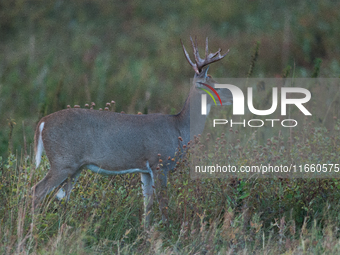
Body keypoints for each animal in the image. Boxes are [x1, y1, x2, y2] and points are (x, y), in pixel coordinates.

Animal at [32, 37, 231, 225]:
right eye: (213, 84)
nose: (231, 95)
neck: (179, 127)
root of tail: (42, 122)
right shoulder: (159, 163)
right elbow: (163, 203)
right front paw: (166, 231)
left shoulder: (145, 170)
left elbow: (147, 204)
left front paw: (146, 232)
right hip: (62, 162)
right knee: (37, 191)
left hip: (75, 168)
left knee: (59, 196)